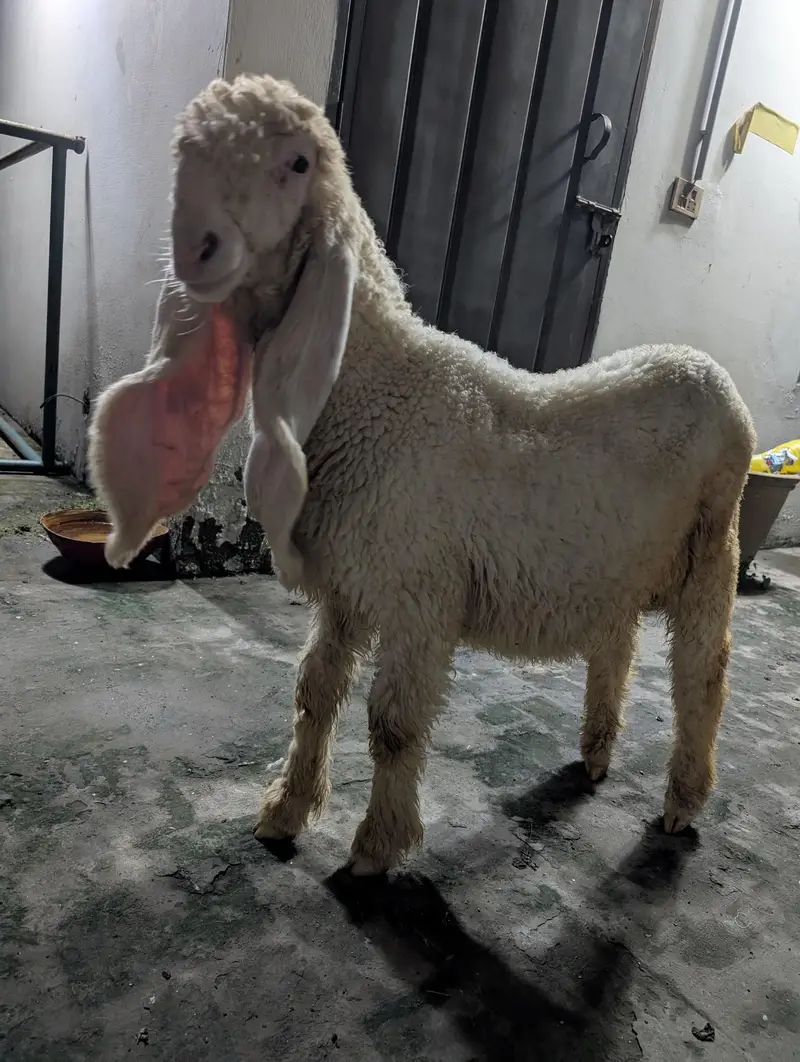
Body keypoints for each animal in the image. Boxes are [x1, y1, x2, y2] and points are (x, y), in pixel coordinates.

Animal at [89, 74, 756, 876]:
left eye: (298, 163)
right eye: (183, 155)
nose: (195, 249)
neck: (377, 391)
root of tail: (701, 364)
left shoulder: (420, 595)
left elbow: (393, 726)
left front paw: (378, 845)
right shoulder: (348, 588)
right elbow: (315, 693)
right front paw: (285, 810)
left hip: (711, 552)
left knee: (703, 678)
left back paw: (684, 798)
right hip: (618, 566)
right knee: (617, 647)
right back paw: (596, 753)